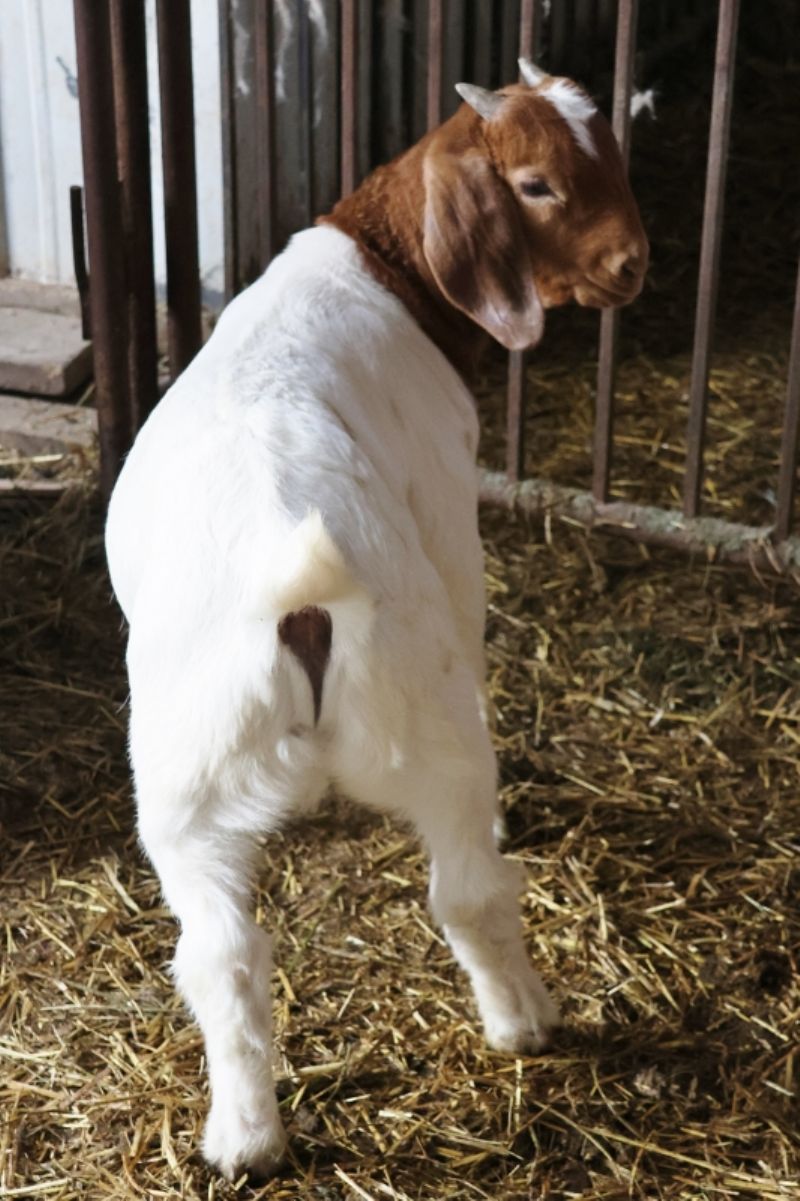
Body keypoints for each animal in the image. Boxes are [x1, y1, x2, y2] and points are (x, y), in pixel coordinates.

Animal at [102, 60, 643, 1176]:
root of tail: (296, 591)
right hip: (428, 718)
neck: (380, 271)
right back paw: (525, 1020)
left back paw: (244, 1138)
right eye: (535, 184)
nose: (633, 263)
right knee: (466, 885)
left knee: (220, 952)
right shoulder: (447, 502)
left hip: (184, 780)